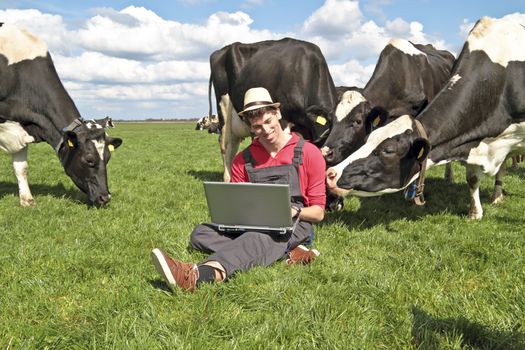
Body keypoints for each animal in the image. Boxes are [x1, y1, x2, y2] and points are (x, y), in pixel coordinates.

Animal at [0, 23, 122, 208]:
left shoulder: (22, 125)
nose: (105, 197)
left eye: (107, 158)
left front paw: (27, 200)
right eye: (89, 160)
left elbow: (21, 168)